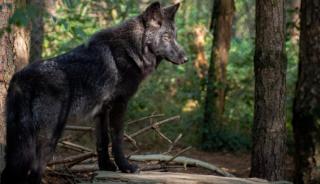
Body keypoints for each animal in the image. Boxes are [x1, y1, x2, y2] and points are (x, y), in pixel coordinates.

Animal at [0, 1, 186, 184]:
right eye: (166, 37)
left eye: (175, 36)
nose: (186, 58)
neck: (132, 50)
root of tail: (22, 78)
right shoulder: (120, 104)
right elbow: (117, 139)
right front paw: (126, 167)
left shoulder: (102, 111)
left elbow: (102, 141)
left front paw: (107, 167)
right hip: (49, 137)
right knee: (35, 172)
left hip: (18, 145)